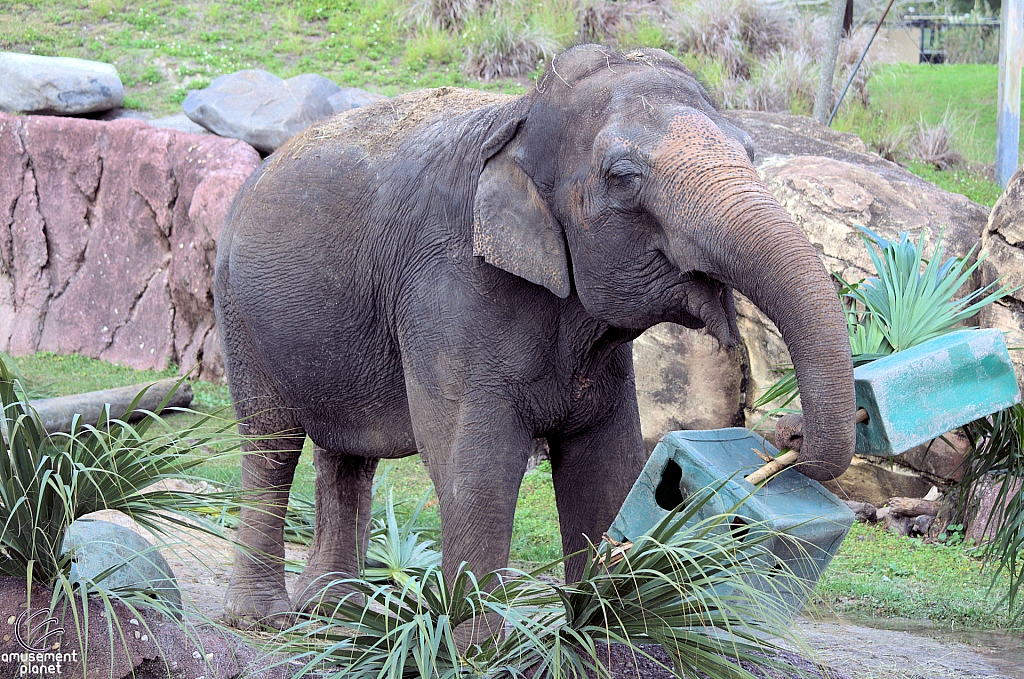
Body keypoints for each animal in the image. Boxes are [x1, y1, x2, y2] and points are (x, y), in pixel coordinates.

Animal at [216, 41, 856, 626]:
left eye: (749, 151)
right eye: (622, 176)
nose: (789, 431)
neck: (521, 113)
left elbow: (608, 465)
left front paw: (607, 630)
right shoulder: (451, 287)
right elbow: (473, 464)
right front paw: (480, 649)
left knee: (346, 454)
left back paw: (336, 612)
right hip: (238, 312)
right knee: (271, 444)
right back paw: (262, 619)